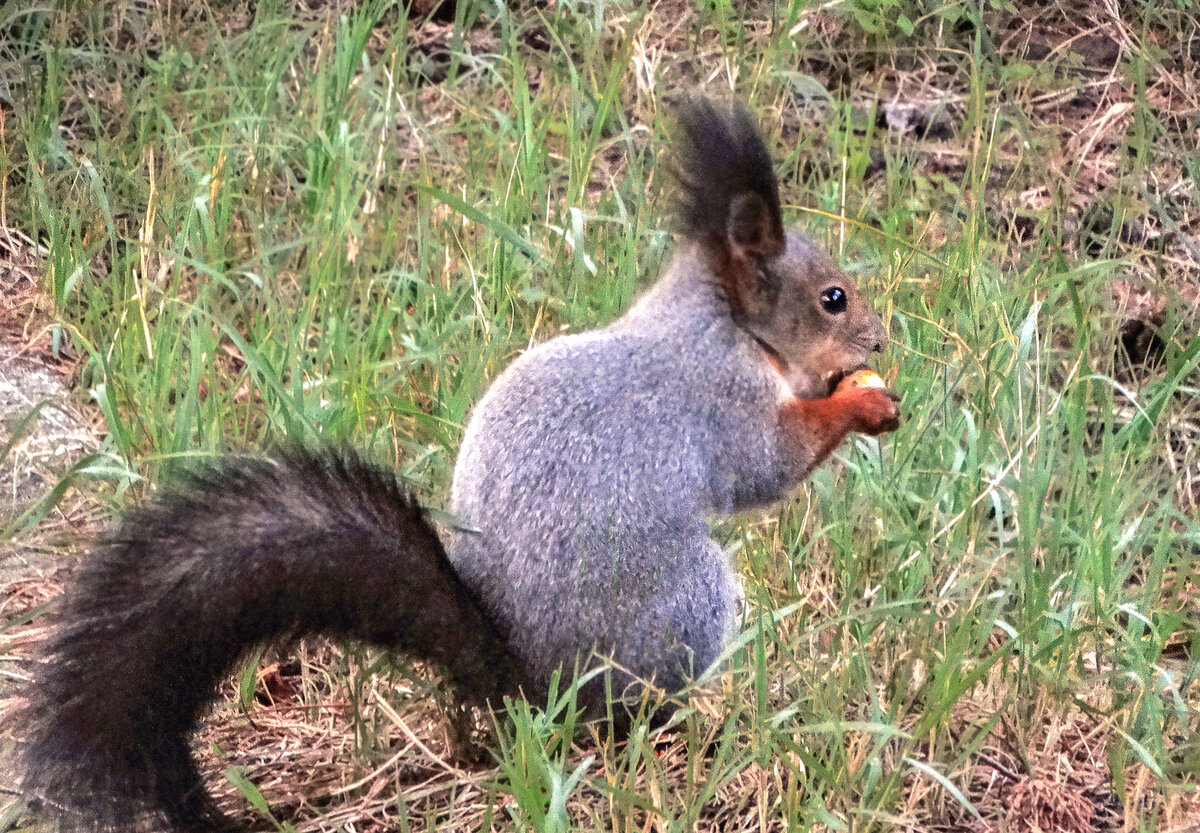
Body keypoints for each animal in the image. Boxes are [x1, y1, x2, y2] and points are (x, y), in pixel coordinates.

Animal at [15, 97, 900, 833]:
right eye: (832, 298)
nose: (881, 340)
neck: (722, 320)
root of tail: (526, 682)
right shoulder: (721, 397)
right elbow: (768, 465)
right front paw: (861, 405)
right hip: (686, 603)